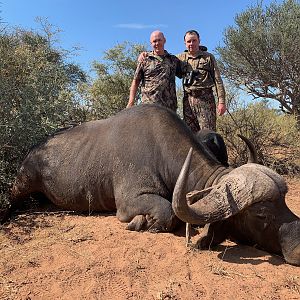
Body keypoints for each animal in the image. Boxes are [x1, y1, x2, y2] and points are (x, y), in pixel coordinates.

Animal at [9, 104, 300, 264]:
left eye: (285, 204)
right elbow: (167, 212)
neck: (161, 151)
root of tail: (34, 150)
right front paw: (140, 223)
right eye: (261, 215)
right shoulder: (129, 203)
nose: (297, 244)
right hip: (21, 183)